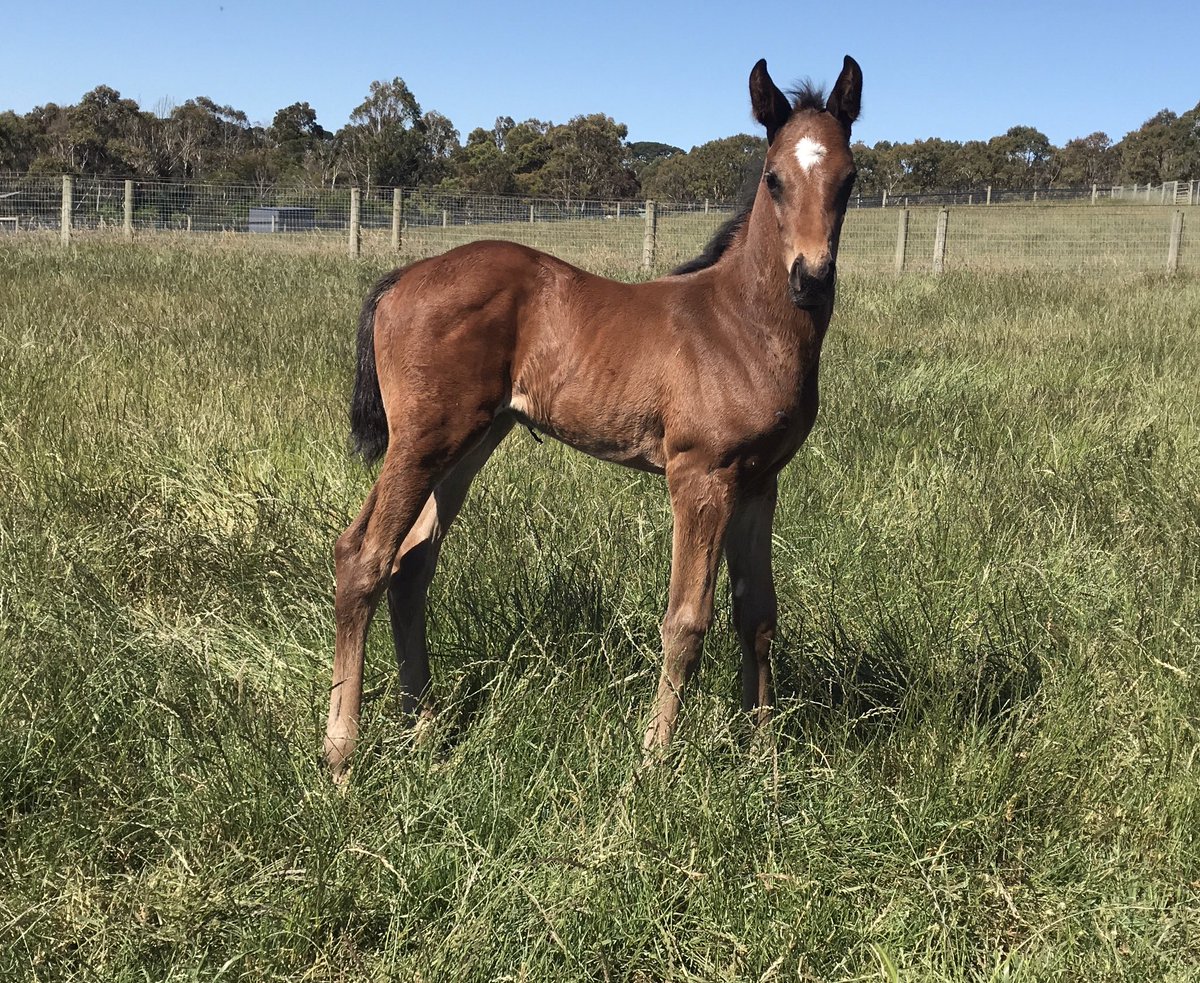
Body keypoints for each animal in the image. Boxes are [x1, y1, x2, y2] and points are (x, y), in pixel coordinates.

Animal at [325, 56, 862, 780]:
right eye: (774, 178)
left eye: (849, 178)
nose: (810, 278)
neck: (742, 323)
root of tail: (401, 278)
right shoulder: (701, 476)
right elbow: (686, 619)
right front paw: (654, 764)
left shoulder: (759, 480)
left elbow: (757, 614)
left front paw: (766, 764)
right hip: (422, 440)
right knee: (364, 558)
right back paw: (341, 757)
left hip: (469, 442)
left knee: (410, 566)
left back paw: (426, 732)